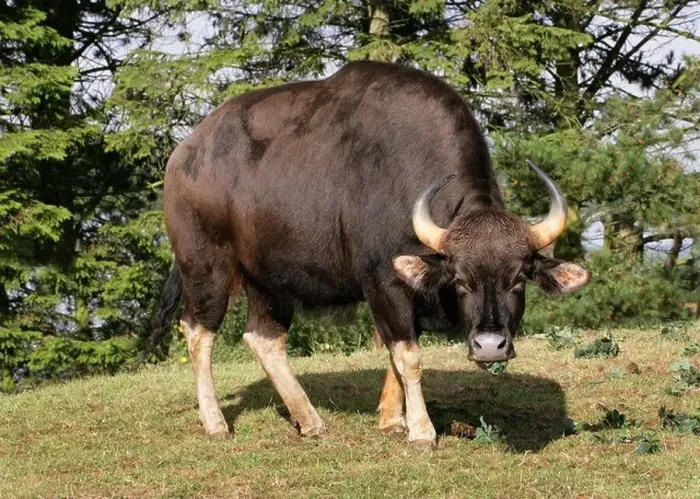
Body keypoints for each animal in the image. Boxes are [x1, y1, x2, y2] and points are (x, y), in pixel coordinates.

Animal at [151, 60, 590, 448]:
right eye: (461, 281)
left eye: (518, 279)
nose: (489, 345)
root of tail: (184, 155)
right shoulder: (384, 281)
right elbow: (408, 355)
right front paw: (421, 430)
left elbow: (398, 352)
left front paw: (392, 419)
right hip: (205, 265)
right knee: (198, 331)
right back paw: (216, 423)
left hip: (268, 279)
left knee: (263, 337)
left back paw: (309, 419)